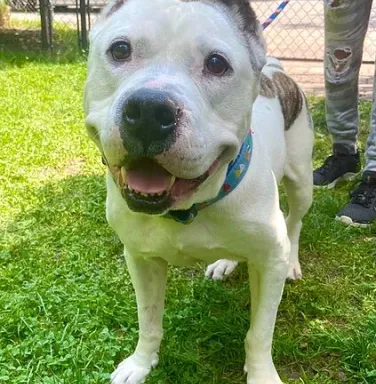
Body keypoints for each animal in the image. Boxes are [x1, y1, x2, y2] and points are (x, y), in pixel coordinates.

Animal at [84, 1, 314, 382]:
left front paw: (261, 373)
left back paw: (293, 260)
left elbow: (259, 333)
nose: (149, 110)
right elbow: (148, 320)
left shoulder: (269, 262)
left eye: (217, 63)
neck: (188, 207)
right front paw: (140, 363)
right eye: (120, 49)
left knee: (295, 219)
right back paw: (224, 262)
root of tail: (276, 71)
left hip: (302, 180)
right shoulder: (141, 259)